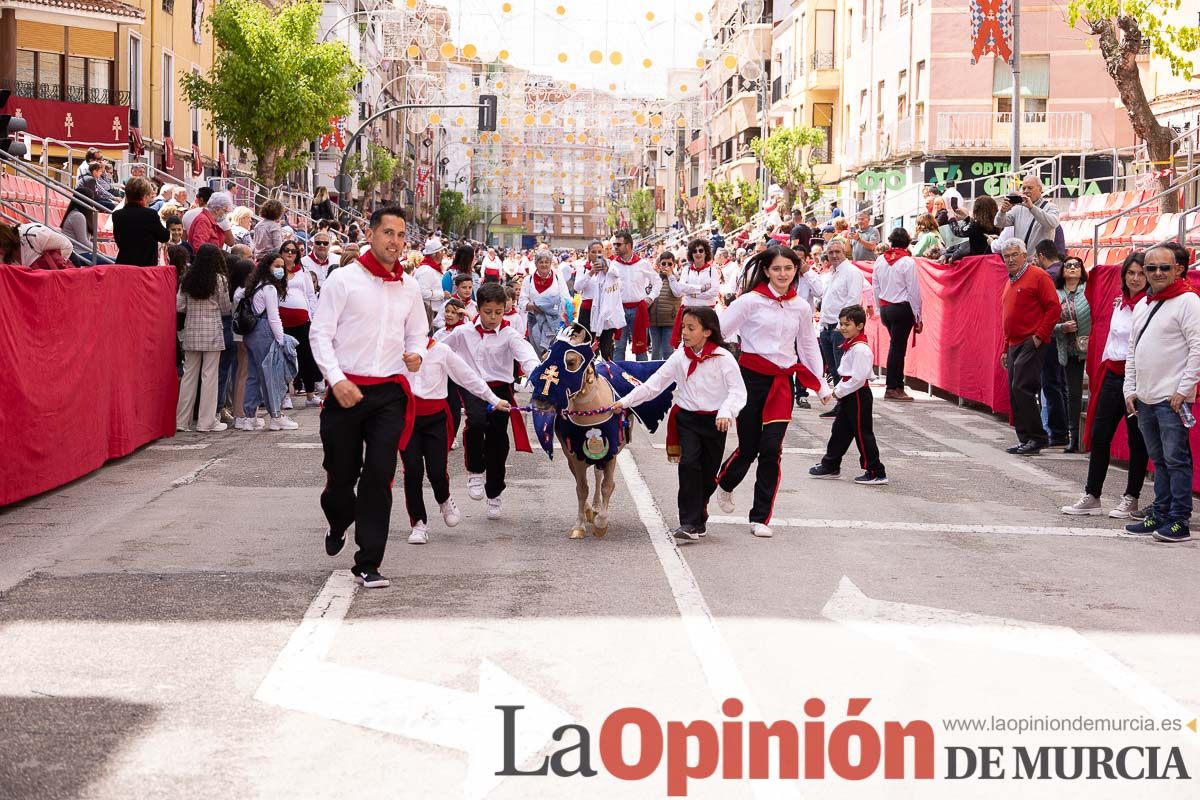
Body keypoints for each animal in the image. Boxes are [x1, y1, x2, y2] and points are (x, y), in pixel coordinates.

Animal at [528, 323, 672, 537]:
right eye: (544, 357)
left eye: (571, 361)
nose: (541, 401)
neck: (590, 410)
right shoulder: (575, 452)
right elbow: (581, 488)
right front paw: (579, 525)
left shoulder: (611, 450)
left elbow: (607, 485)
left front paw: (601, 523)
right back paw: (590, 509)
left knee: (598, 475)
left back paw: (596, 509)